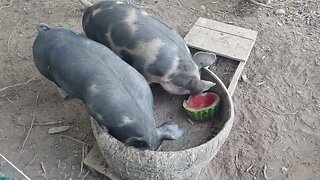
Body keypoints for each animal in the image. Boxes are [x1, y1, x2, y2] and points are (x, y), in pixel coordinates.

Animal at [32, 23, 184, 150]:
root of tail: (43, 33)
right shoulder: (92, 107)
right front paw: (104, 130)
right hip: (43, 68)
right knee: (56, 84)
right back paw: (65, 96)